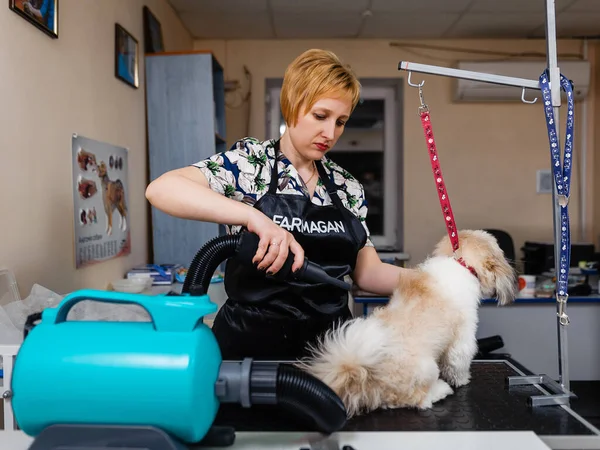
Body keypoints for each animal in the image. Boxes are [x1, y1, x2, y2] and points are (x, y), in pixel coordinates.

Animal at [298, 230, 516, 420]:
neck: (461, 264)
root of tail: (363, 371)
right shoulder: (462, 338)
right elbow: (458, 362)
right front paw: (462, 380)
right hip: (427, 368)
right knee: (418, 400)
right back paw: (440, 391)